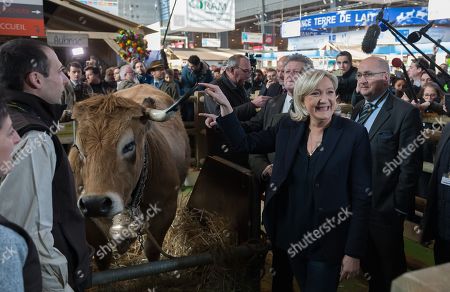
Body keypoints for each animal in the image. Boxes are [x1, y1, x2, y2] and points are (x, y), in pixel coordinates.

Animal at [68, 84, 190, 270]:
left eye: (129, 145)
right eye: (78, 147)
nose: (94, 203)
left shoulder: (167, 208)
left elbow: (152, 251)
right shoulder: (87, 221)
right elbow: (102, 256)